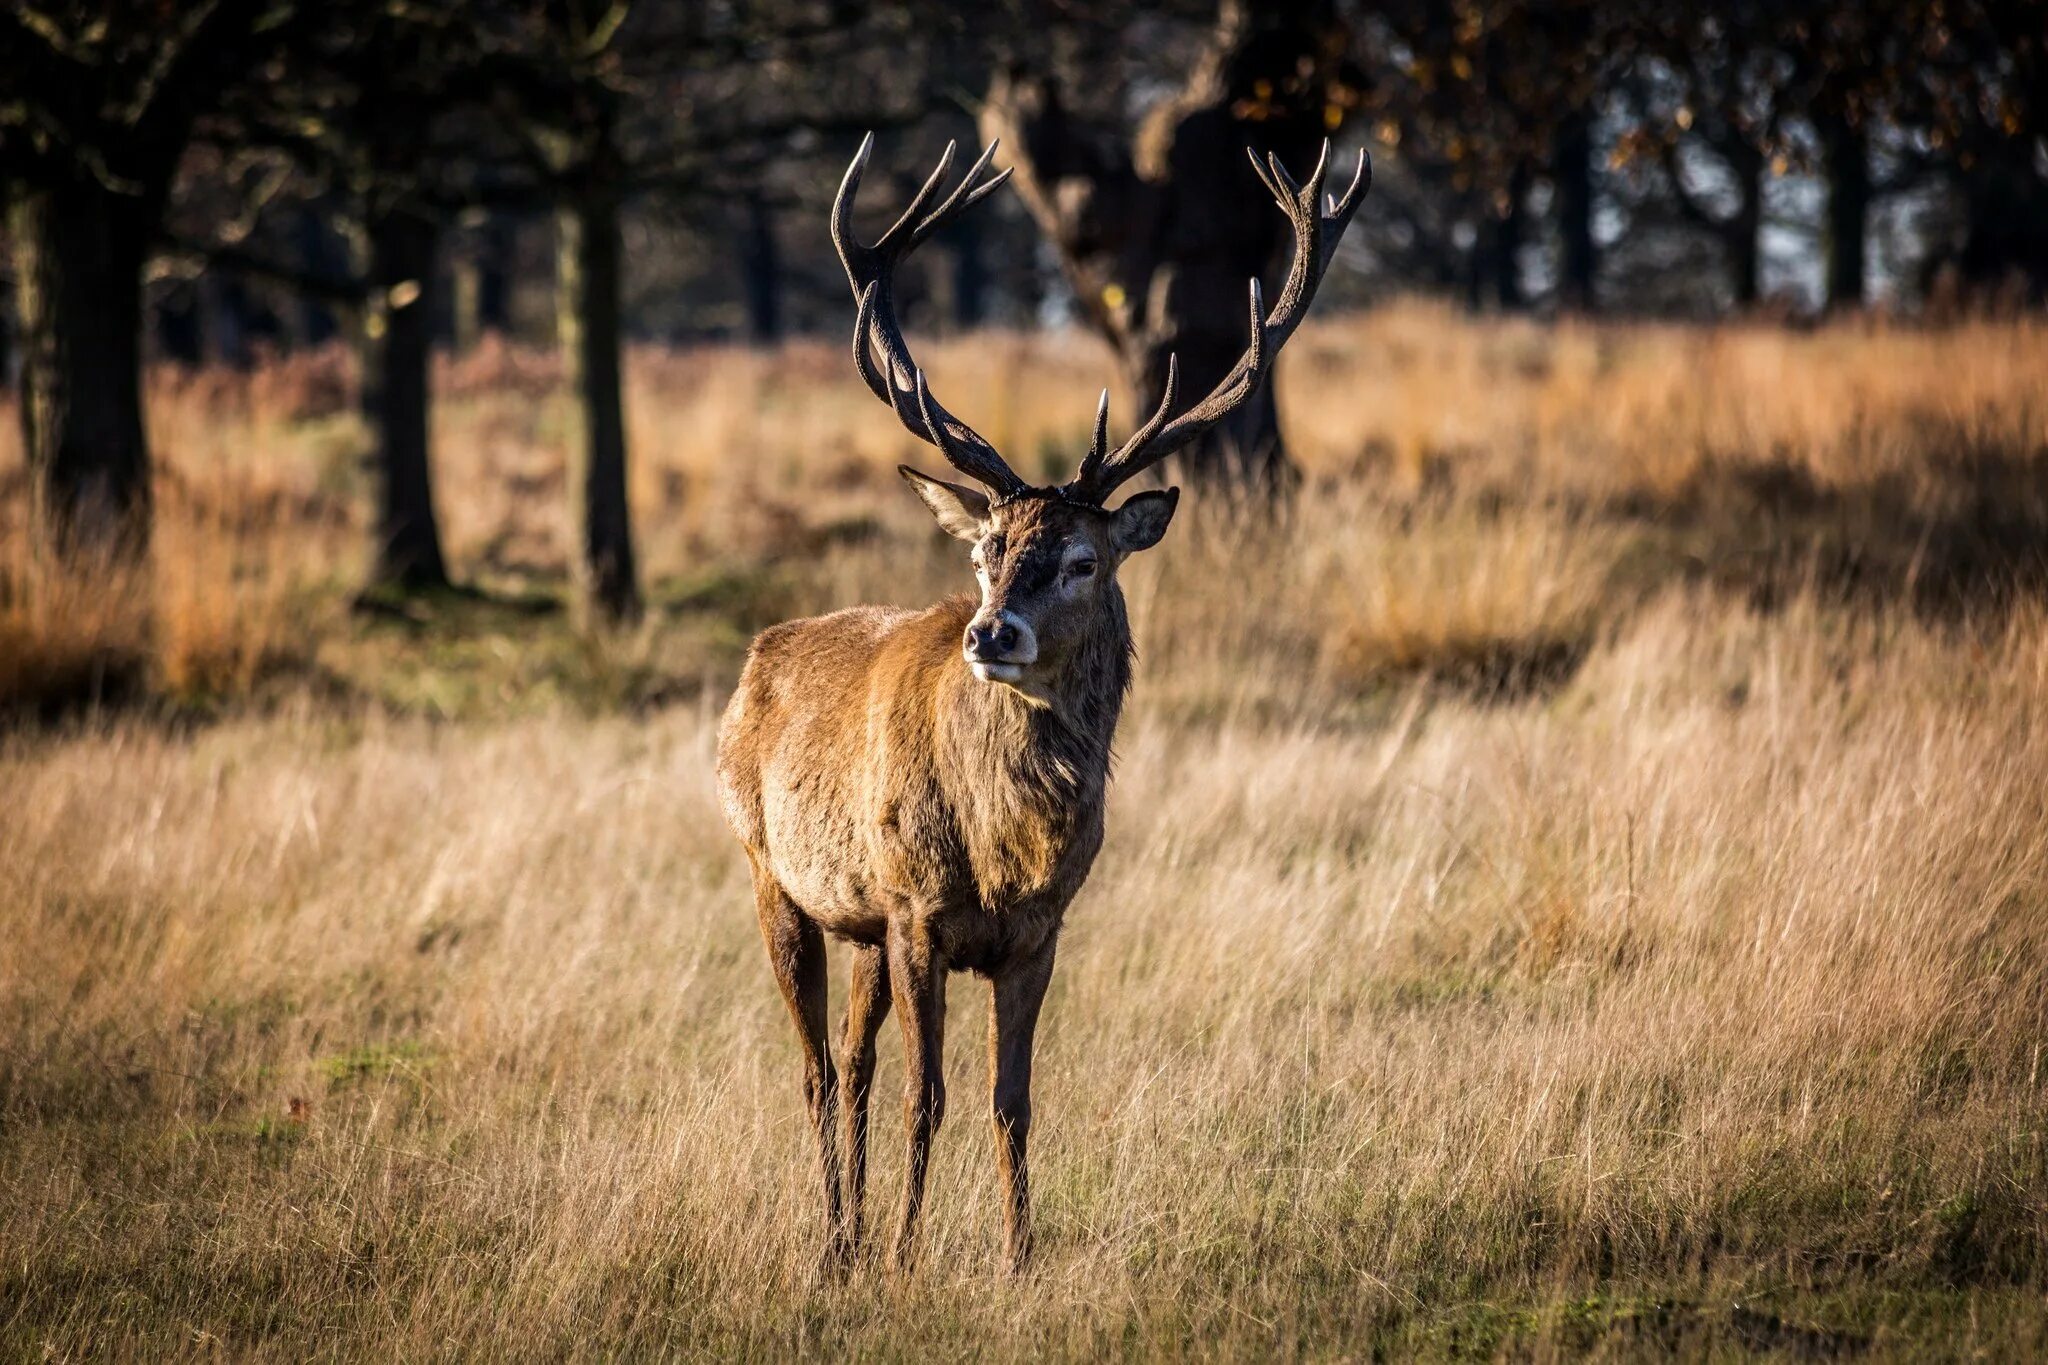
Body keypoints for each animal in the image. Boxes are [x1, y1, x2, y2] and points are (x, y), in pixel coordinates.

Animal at [712, 127, 1368, 1268]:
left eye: (1079, 560)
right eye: (985, 550)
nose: (989, 633)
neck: (1000, 846)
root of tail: (759, 655)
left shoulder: (1038, 932)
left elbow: (1009, 1100)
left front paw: (1017, 1255)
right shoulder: (918, 911)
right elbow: (930, 1095)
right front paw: (907, 1254)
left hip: (859, 924)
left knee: (852, 1061)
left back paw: (846, 1235)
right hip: (772, 874)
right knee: (817, 1068)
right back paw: (839, 1240)